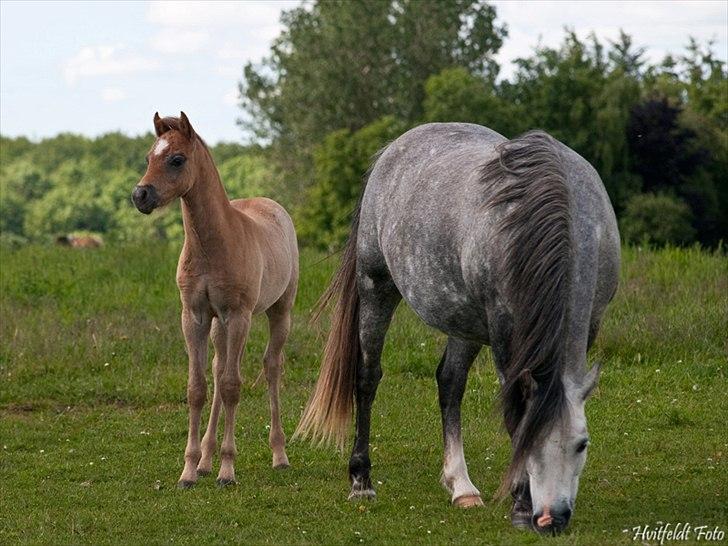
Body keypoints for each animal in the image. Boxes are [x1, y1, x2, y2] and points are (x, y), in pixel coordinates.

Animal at [131, 112, 299, 488]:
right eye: (148, 157)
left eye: (177, 159)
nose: (140, 195)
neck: (212, 245)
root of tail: (273, 205)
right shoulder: (194, 316)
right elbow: (198, 388)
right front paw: (189, 471)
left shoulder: (238, 315)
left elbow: (233, 386)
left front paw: (227, 470)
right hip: (218, 326)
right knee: (219, 367)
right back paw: (206, 461)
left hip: (277, 312)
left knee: (270, 367)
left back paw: (279, 455)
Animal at [295, 123, 620, 534]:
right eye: (529, 443)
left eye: (582, 444)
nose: (551, 519)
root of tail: (392, 149)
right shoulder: (504, 331)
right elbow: (514, 411)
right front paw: (519, 505)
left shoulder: (590, 322)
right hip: (375, 287)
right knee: (367, 378)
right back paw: (361, 481)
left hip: (462, 320)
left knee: (449, 382)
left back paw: (461, 486)